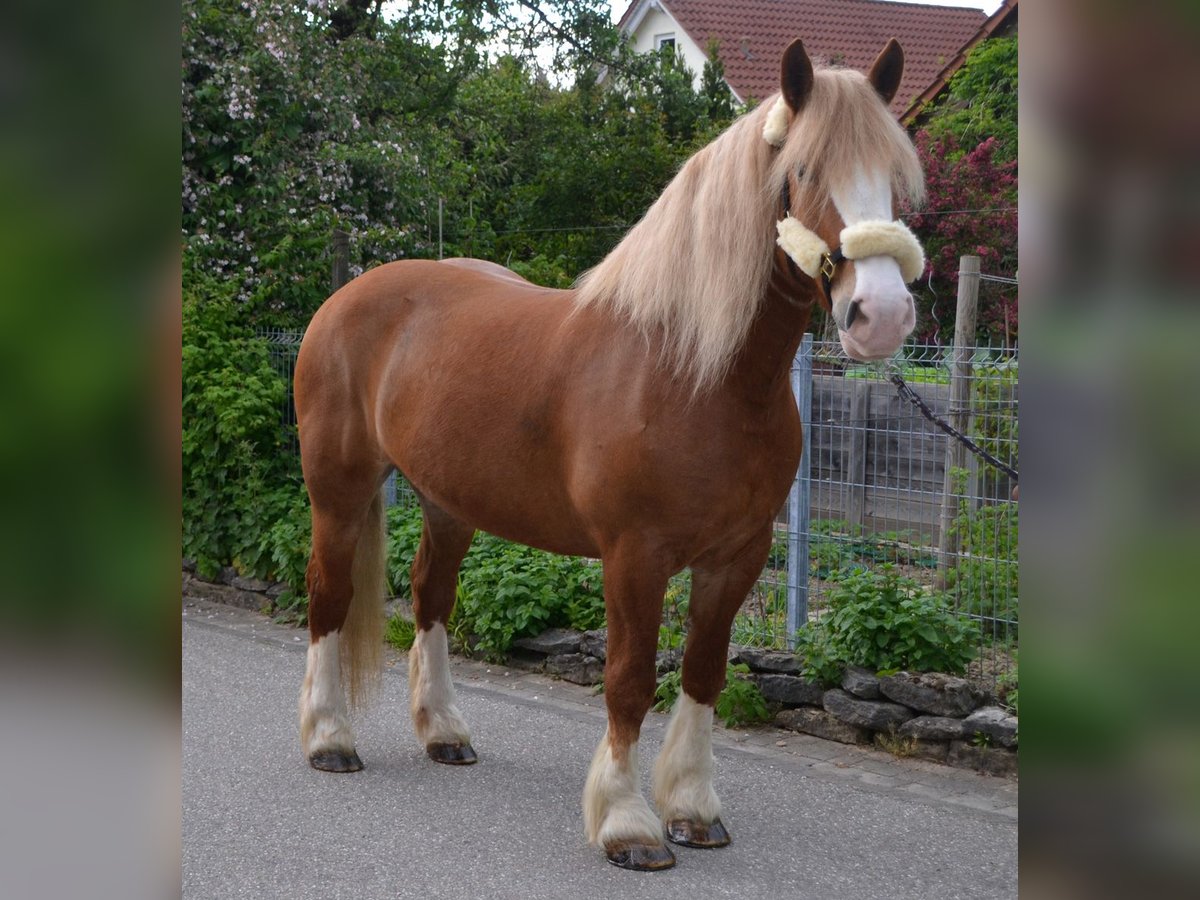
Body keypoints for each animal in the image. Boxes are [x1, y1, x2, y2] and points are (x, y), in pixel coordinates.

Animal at [292, 38, 926, 868]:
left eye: (895, 178)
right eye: (807, 172)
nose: (880, 315)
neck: (696, 375)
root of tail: (346, 299)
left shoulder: (738, 556)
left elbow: (702, 672)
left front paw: (692, 809)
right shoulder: (634, 556)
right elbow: (628, 679)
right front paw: (628, 824)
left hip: (449, 503)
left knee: (432, 597)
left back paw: (445, 733)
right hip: (339, 492)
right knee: (329, 597)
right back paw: (330, 740)